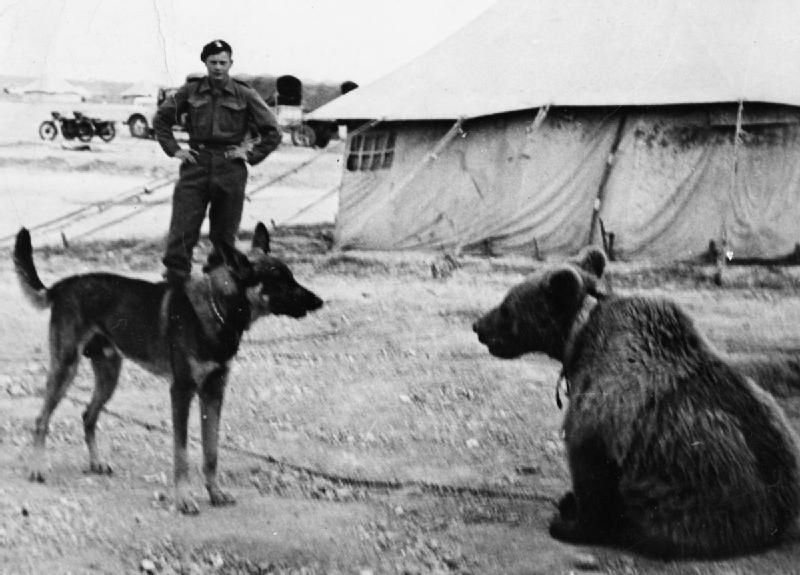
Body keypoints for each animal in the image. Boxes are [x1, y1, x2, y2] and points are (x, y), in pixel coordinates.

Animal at [472, 246, 800, 558]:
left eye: (505, 307)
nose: (478, 325)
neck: (577, 337)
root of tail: (780, 516)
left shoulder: (603, 411)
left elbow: (589, 466)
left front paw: (569, 524)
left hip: (686, 503)